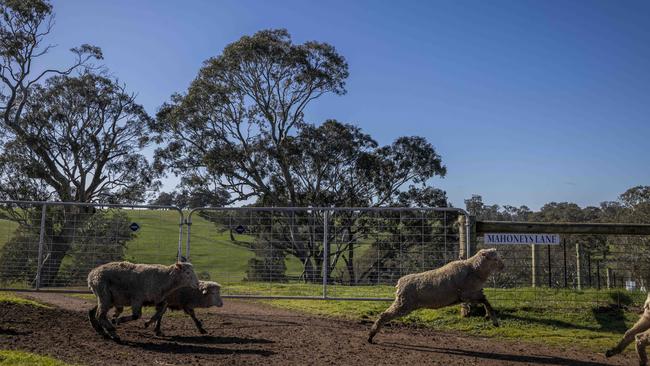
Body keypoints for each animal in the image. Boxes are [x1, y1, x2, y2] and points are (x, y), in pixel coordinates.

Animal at [364, 247, 502, 344]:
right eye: (495, 259)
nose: (503, 266)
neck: (474, 269)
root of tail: (400, 283)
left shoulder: (472, 294)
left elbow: (485, 301)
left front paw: (490, 317)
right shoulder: (467, 294)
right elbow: (485, 301)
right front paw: (494, 320)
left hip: (404, 303)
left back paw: (371, 335)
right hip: (404, 304)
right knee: (384, 315)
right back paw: (371, 336)